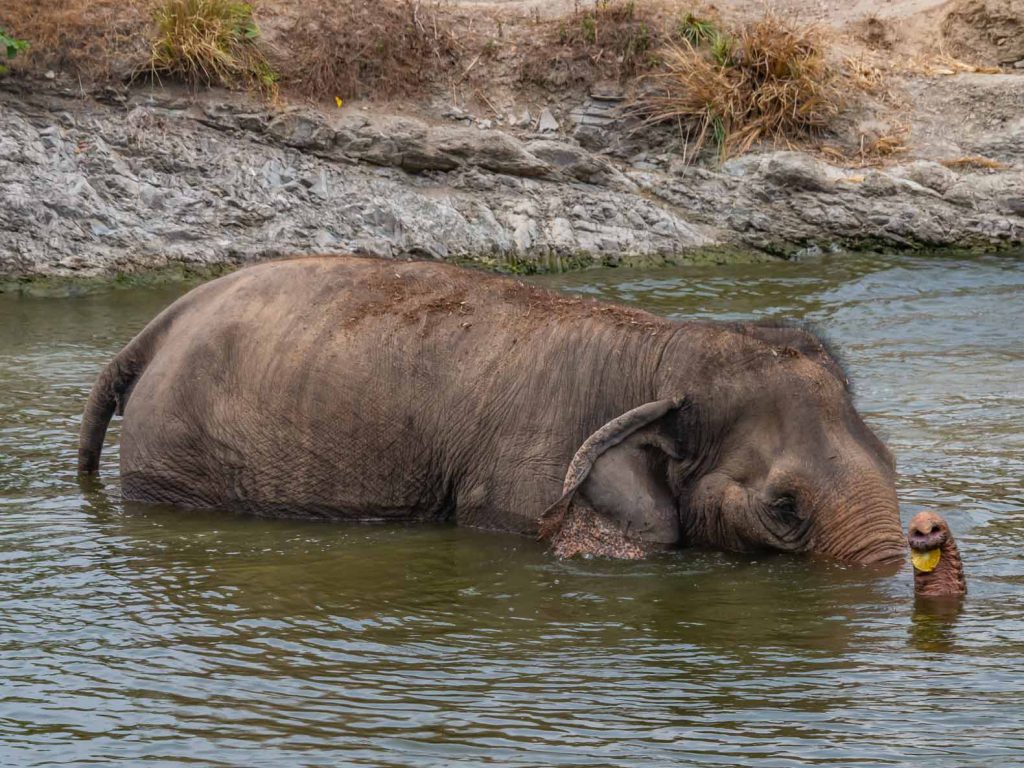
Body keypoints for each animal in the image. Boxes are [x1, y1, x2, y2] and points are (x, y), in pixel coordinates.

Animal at [79, 256, 905, 561]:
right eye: (784, 505)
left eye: (895, 464)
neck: (662, 352)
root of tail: (160, 325)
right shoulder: (523, 482)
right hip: (176, 456)